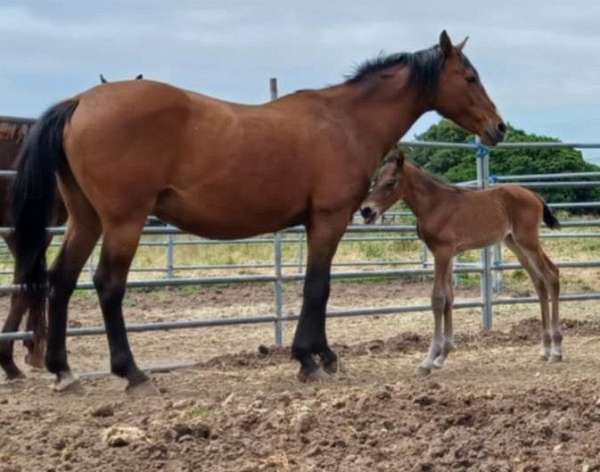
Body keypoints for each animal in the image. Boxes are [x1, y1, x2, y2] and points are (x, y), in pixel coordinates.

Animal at [11, 29, 504, 390]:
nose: (498, 127)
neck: (346, 121)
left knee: (61, 281)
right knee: (107, 286)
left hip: (86, 220)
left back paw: (63, 371)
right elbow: (317, 288)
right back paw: (132, 373)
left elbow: (318, 288)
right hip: (123, 222)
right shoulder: (329, 220)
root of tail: (80, 101)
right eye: (470, 78)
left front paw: (322, 354)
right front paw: (310, 360)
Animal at [360, 151, 564, 376]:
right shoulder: (448, 254)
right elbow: (449, 297)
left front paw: (428, 360)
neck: (434, 204)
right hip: (514, 243)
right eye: (375, 180)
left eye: (391, 182)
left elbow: (438, 299)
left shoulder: (442, 252)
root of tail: (534, 195)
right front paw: (443, 355)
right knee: (539, 281)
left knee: (551, 274)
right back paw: (545, 348)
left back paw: (557, 350)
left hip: (528, 241)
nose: (366, 211)